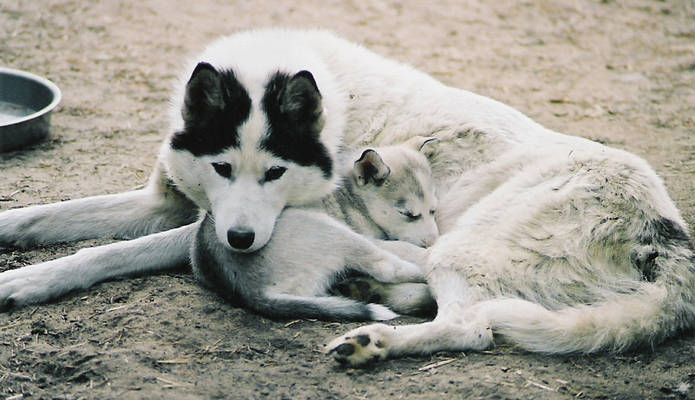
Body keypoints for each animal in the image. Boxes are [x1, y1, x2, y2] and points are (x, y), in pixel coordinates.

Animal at [1, 28, 695, 362]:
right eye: (222, 167)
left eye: (275, 175)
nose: (241, 240)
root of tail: (668, 231)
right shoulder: (173, 203)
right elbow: (53, 218)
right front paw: (17, 242)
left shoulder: (216, 225)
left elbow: (106, 252)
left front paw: (25, 282)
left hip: (459, 252)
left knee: (470, 327)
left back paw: (373, 342)